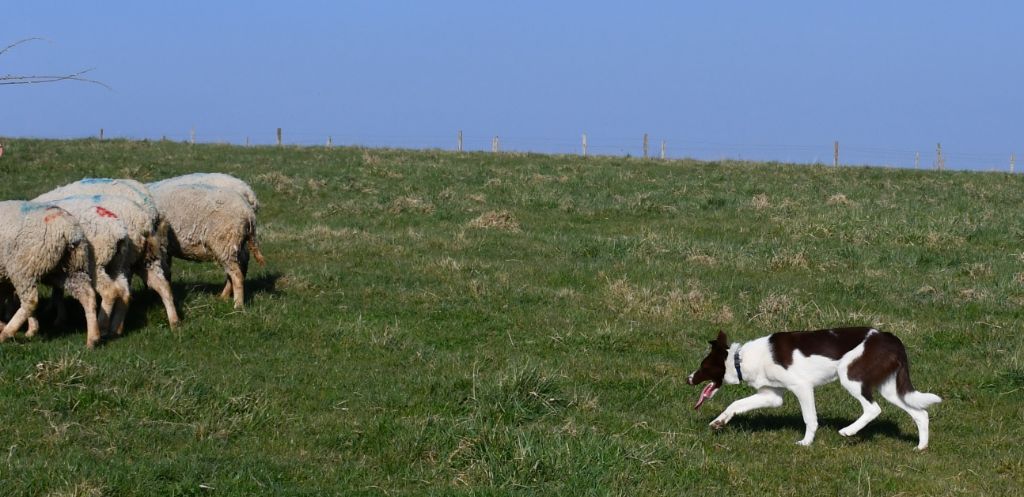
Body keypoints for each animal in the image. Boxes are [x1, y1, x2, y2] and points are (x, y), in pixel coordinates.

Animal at [0, 199, 100, 346]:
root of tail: (67, 228)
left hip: (23, 267)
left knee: (30, 301)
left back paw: (6, 333)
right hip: (70, 268)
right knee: (87, 295)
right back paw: (93, 338)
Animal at [33, 180, 179, 327]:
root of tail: (147, 219)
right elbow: (57, 291)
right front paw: (58, 316)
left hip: (106, 262)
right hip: (145, 257)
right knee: (159, 281)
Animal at [688, 327, 942, 446]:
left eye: (703, 366)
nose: (688, 379)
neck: (740, 359)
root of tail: (892, 338)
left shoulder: (802, 387)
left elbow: (810, 419)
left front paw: (806, 443)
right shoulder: (772, 395)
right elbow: (736, 404)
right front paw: (719, 422)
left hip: (850, 376)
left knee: (873, 409)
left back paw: (848, 431)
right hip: (890, 389)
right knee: (920, 413)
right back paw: (921, 447)